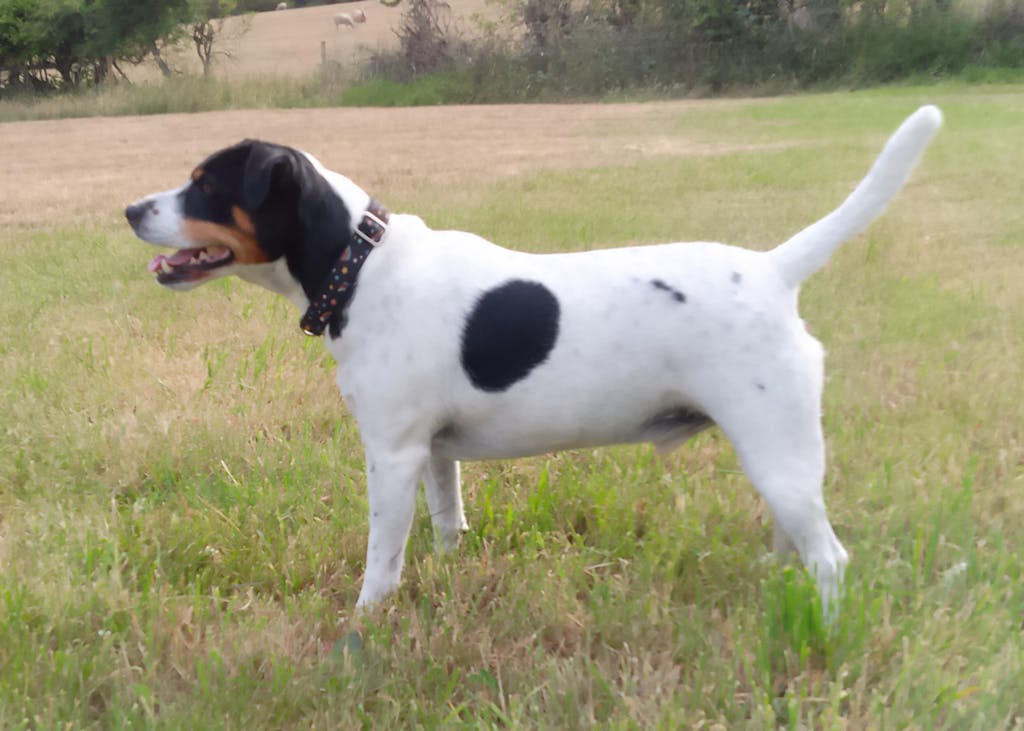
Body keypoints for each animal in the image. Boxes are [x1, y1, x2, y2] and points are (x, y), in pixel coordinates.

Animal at [126, 106, 942, 615]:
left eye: (205, 184)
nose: (130, 209)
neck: (358, 266)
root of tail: (774, 270)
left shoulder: (390, 454)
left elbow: (381, 560)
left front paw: (363, 623)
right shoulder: (433, 452)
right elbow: (448, 525)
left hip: (778, 450)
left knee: (830, 557)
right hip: (776, 457)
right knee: (796, 541)